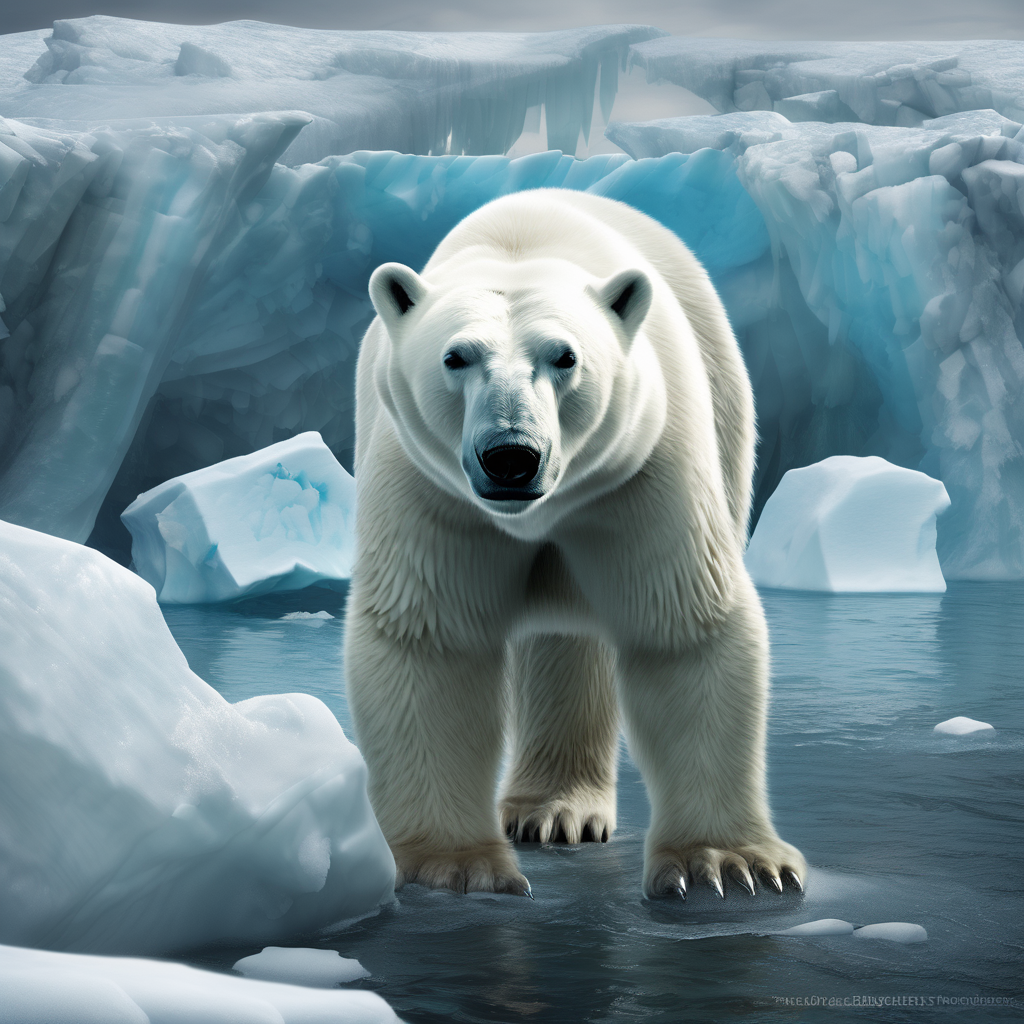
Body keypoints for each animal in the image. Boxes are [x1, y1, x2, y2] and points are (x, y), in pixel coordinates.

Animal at [345, 188, 806, 900]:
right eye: (455, 357)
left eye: (565, 356)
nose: (511, 456)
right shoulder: (429, 487)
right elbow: (431, 638)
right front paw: (456, 865)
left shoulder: (641, 472)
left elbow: (681, 624)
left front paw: (728, 865)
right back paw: (545, 811)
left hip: (724, 405)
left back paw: (556, 812)